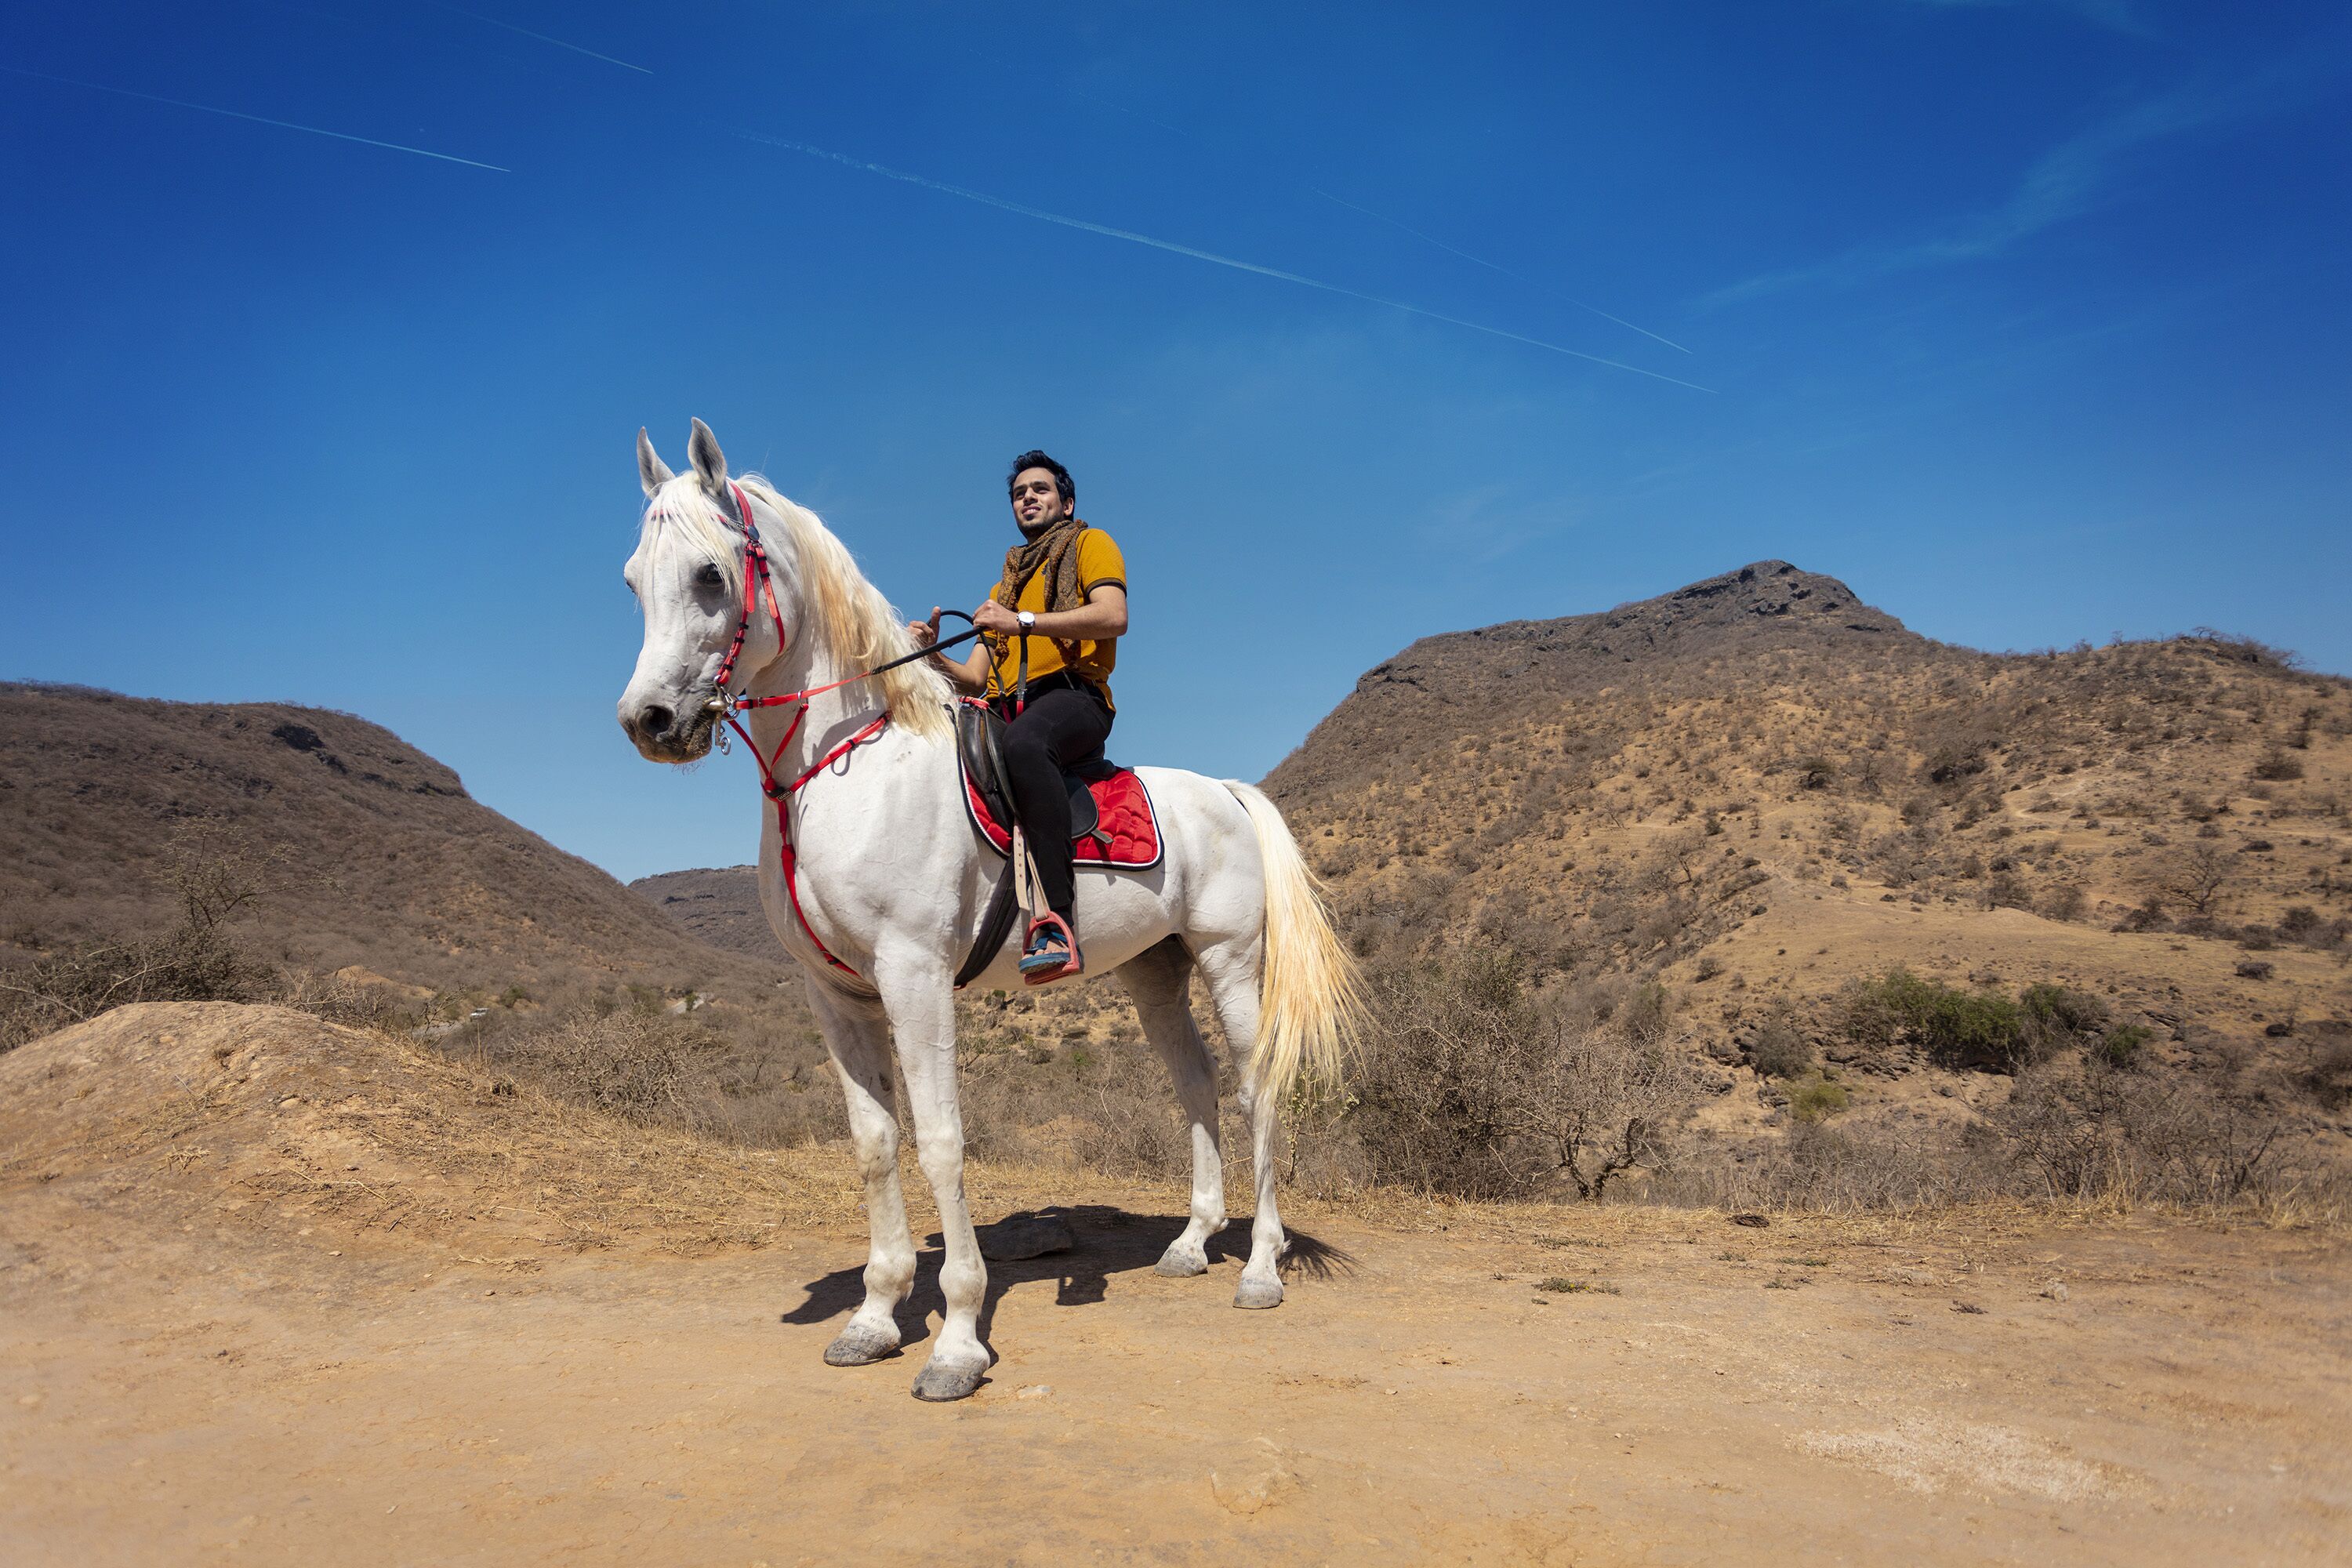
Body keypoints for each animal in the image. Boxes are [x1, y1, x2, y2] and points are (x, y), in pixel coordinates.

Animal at [616, 419, 1364, 1401]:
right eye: (634, 578)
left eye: (710, 574)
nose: (649, 721)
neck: (847, 765)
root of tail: (1229, 792)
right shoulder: (836, 993)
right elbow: (873, 1144)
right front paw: (872, 1317)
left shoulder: (915, 975)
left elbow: (939, 1141)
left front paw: (958, 1341)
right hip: (1154, 973)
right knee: (1196, 1084)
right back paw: (1192, 1242)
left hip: (1232, 960)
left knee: (1256, 1086)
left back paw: (1262, 1268)